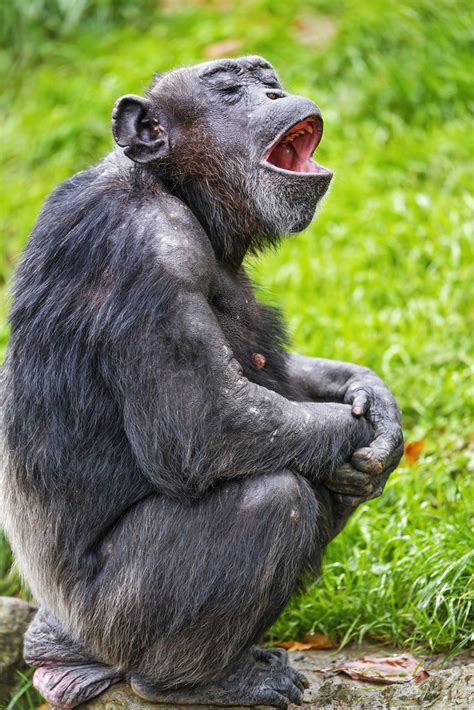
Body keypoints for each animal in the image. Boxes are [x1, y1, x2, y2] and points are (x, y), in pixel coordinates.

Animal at [0, 57, 402, 710]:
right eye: (231, 90)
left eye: (269, 81)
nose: (276, 94)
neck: (176, 189)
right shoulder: (150, 253)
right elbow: (207, 422)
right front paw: (365, 432)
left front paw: (378, 407)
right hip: (117, 616)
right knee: (273, 498)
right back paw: (200, 681)